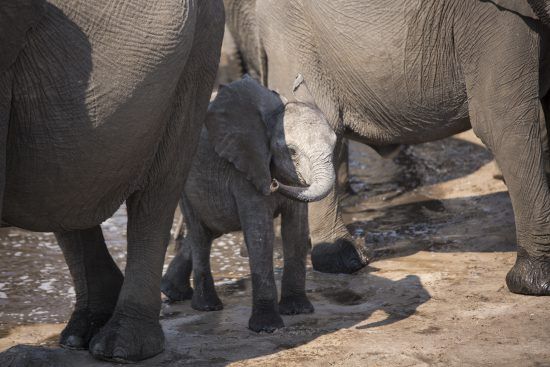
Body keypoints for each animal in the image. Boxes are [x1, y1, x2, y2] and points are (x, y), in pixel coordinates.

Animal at [162, 76, 338, 332]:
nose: (273, 183)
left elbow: (295, 229)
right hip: (184, 181)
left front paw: (298, 310)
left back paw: (173, 292)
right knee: (201, 234)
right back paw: (206, 306)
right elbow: (260, 233)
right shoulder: (245, 169)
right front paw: (267, 327)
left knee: (212, 229)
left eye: (335, 144)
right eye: (292, 151)